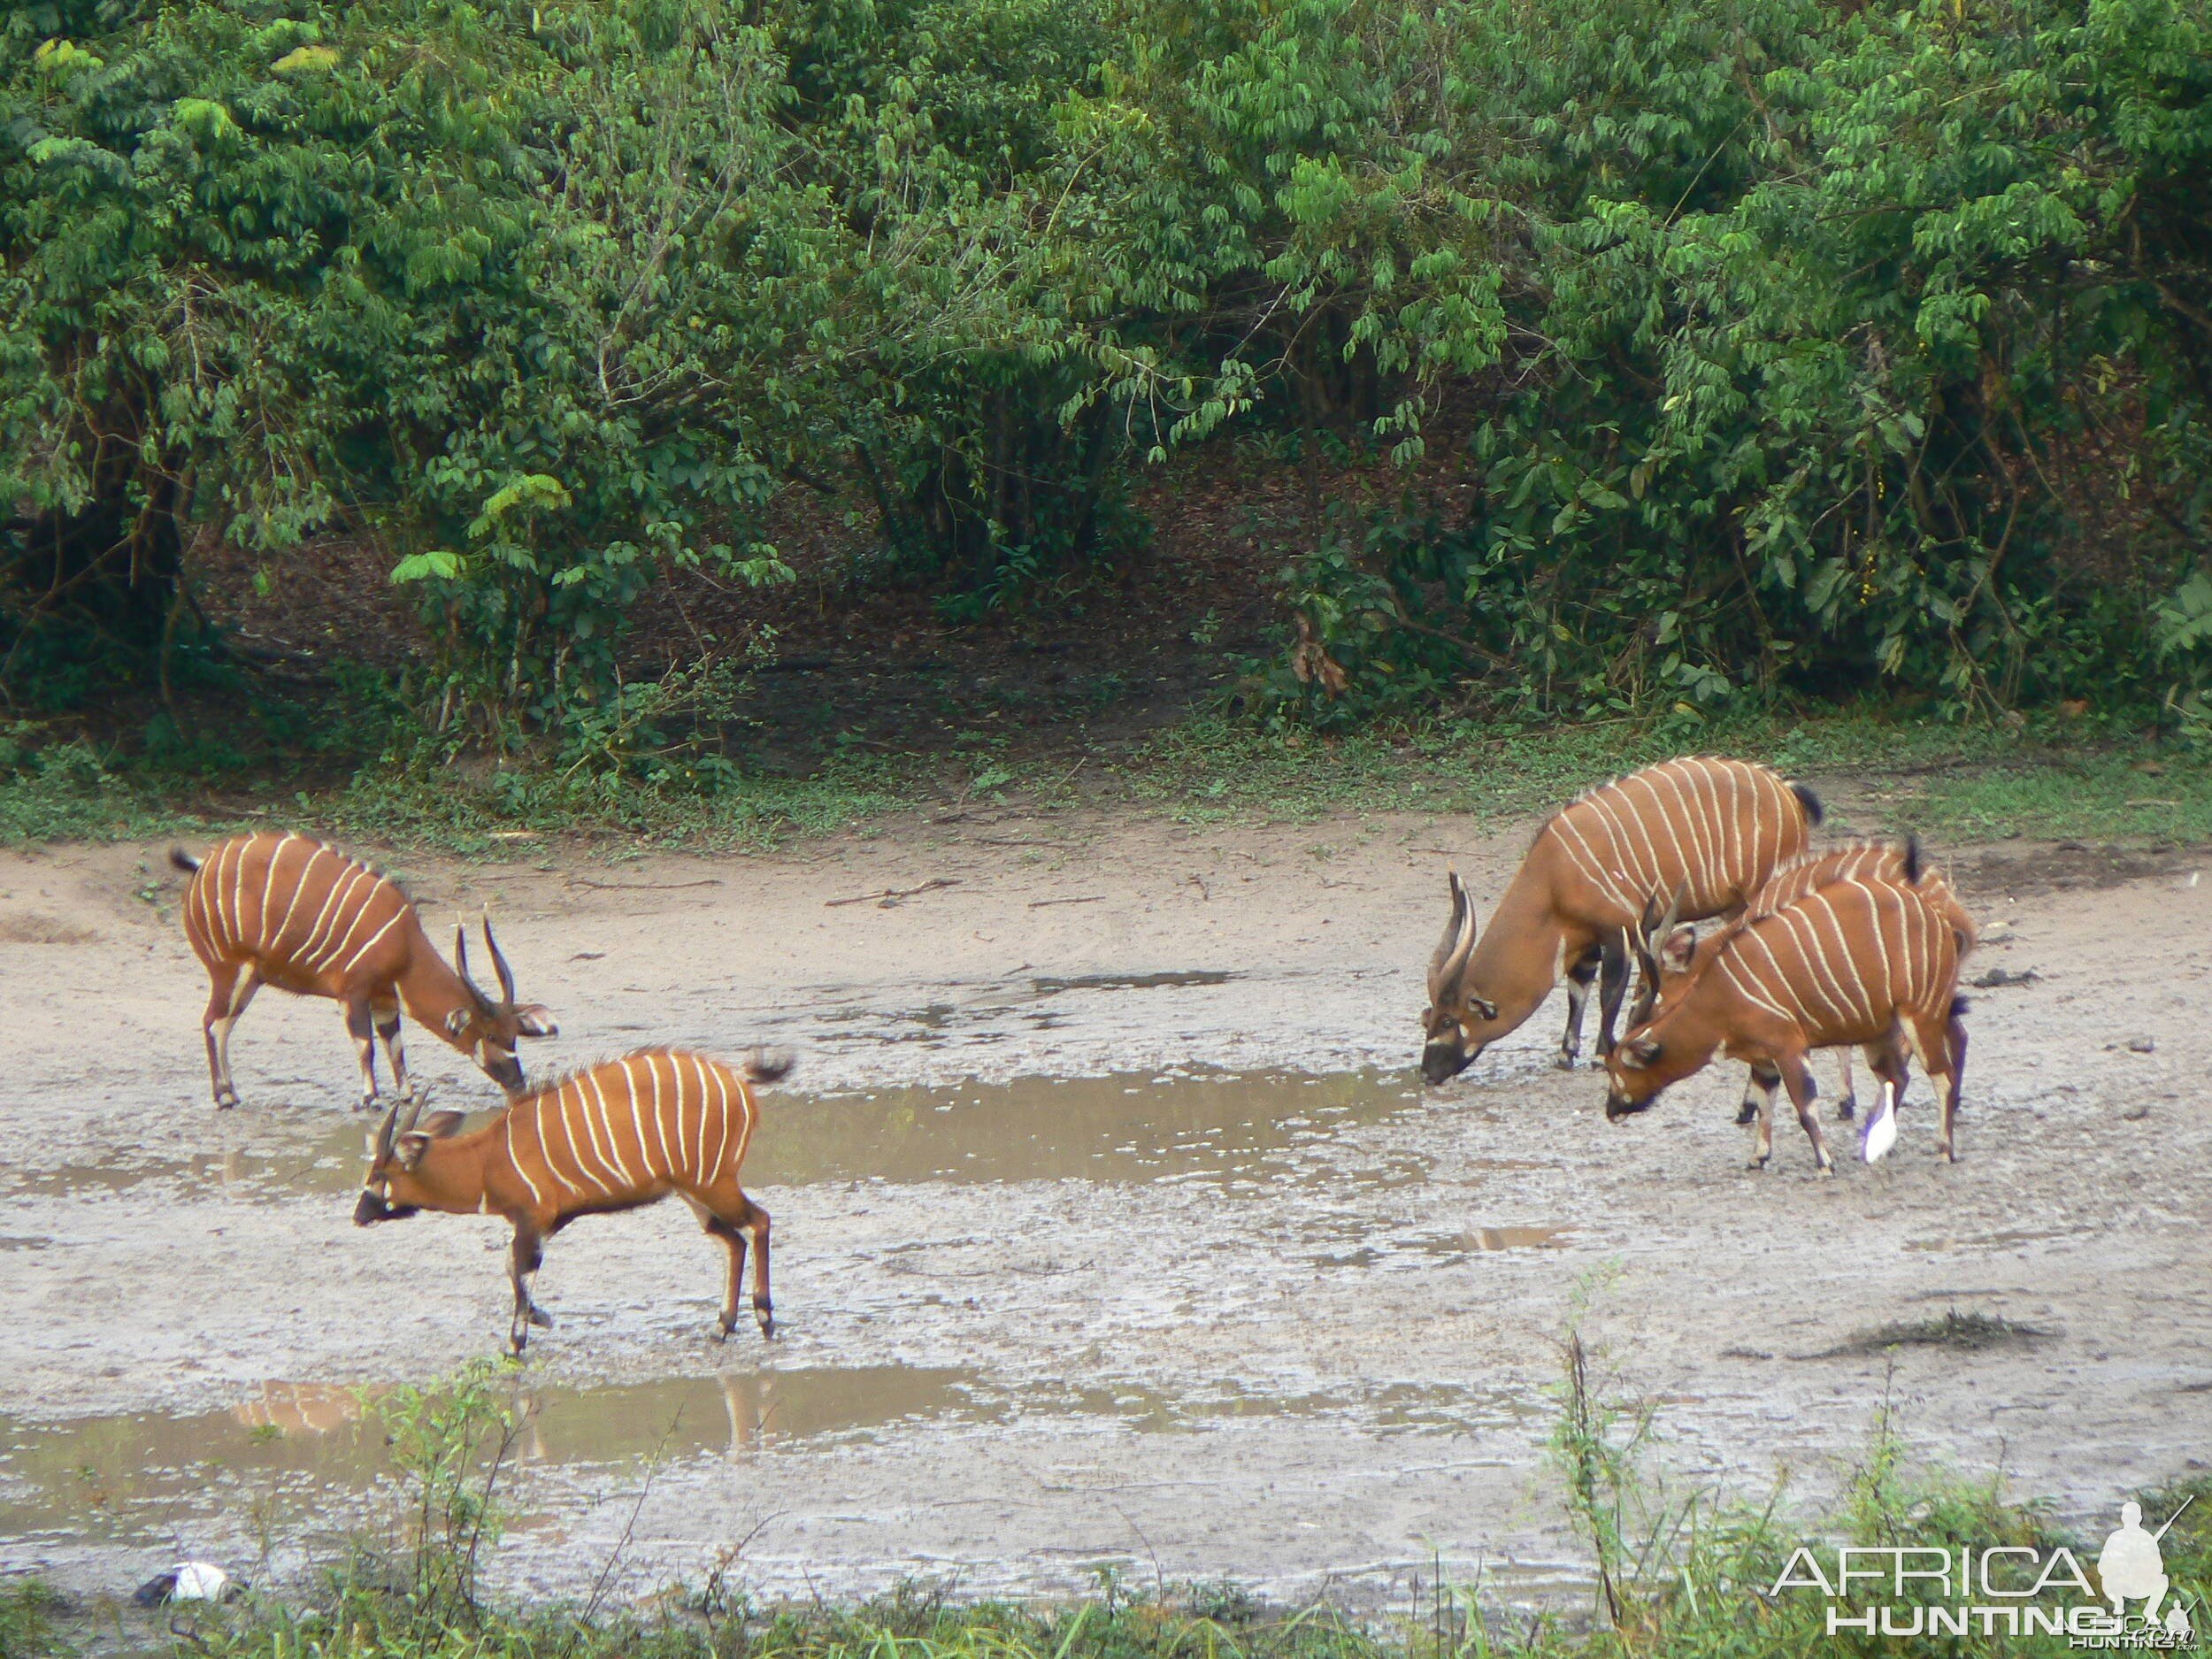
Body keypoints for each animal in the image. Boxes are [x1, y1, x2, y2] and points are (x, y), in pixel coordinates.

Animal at [171, 832, 553, 1119]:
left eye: (514, 1035)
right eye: (490, 1035)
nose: (518, 1084)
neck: (404, 945)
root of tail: (202, 864)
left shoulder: (385, 1000)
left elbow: (394, 1045)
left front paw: (407, 1094)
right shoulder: (353, 993)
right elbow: (365, 1045)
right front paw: (371, 1099)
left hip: (250, 979)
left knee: (223, 1024)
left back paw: (231, 1093)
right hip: (228, 969)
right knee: (213, 1022)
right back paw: (223, 1096)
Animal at [349, 1057, 792, 1354]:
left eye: (378, 1175)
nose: (359, 1215)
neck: (487, 1158)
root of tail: (737, 1079)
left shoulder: (533, 1219)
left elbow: (521, 1269)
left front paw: (516, 1343)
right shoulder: (545, 1222)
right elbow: (512, 1266)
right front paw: (539, 1318)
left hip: (713, 1183)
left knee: (759, 1222)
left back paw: (764, 1319)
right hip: (693, 1192)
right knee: (733, 1240)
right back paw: (722, 1326)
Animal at [1425, 761, 1823, 1084]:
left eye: (1448, 1021)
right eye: (1426, 1017)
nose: (1427, 1074)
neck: (1553, 880)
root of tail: (1788, 791)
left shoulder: (1620, 933)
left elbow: (1608, 993)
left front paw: (1602, 1055)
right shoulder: (1585, 943)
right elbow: (1578, 992)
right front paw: (1566, 1054)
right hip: (1735, 904)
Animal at [1610, 872, 1973, 1168]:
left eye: (1615, 1071)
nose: (1611, 1110)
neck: (1721, 997)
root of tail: (1941, 921)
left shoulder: (1789, 1047)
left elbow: (1805, 1108)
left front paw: (1825, 1163)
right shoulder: (1763, 1060)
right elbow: (1764, 1103)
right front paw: (1758, 1157)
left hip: (1921, 1014)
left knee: (1941, 1074)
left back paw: (1945, 1149)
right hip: (1879, 1029)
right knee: (1899, 1076)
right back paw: (1875, 1145)